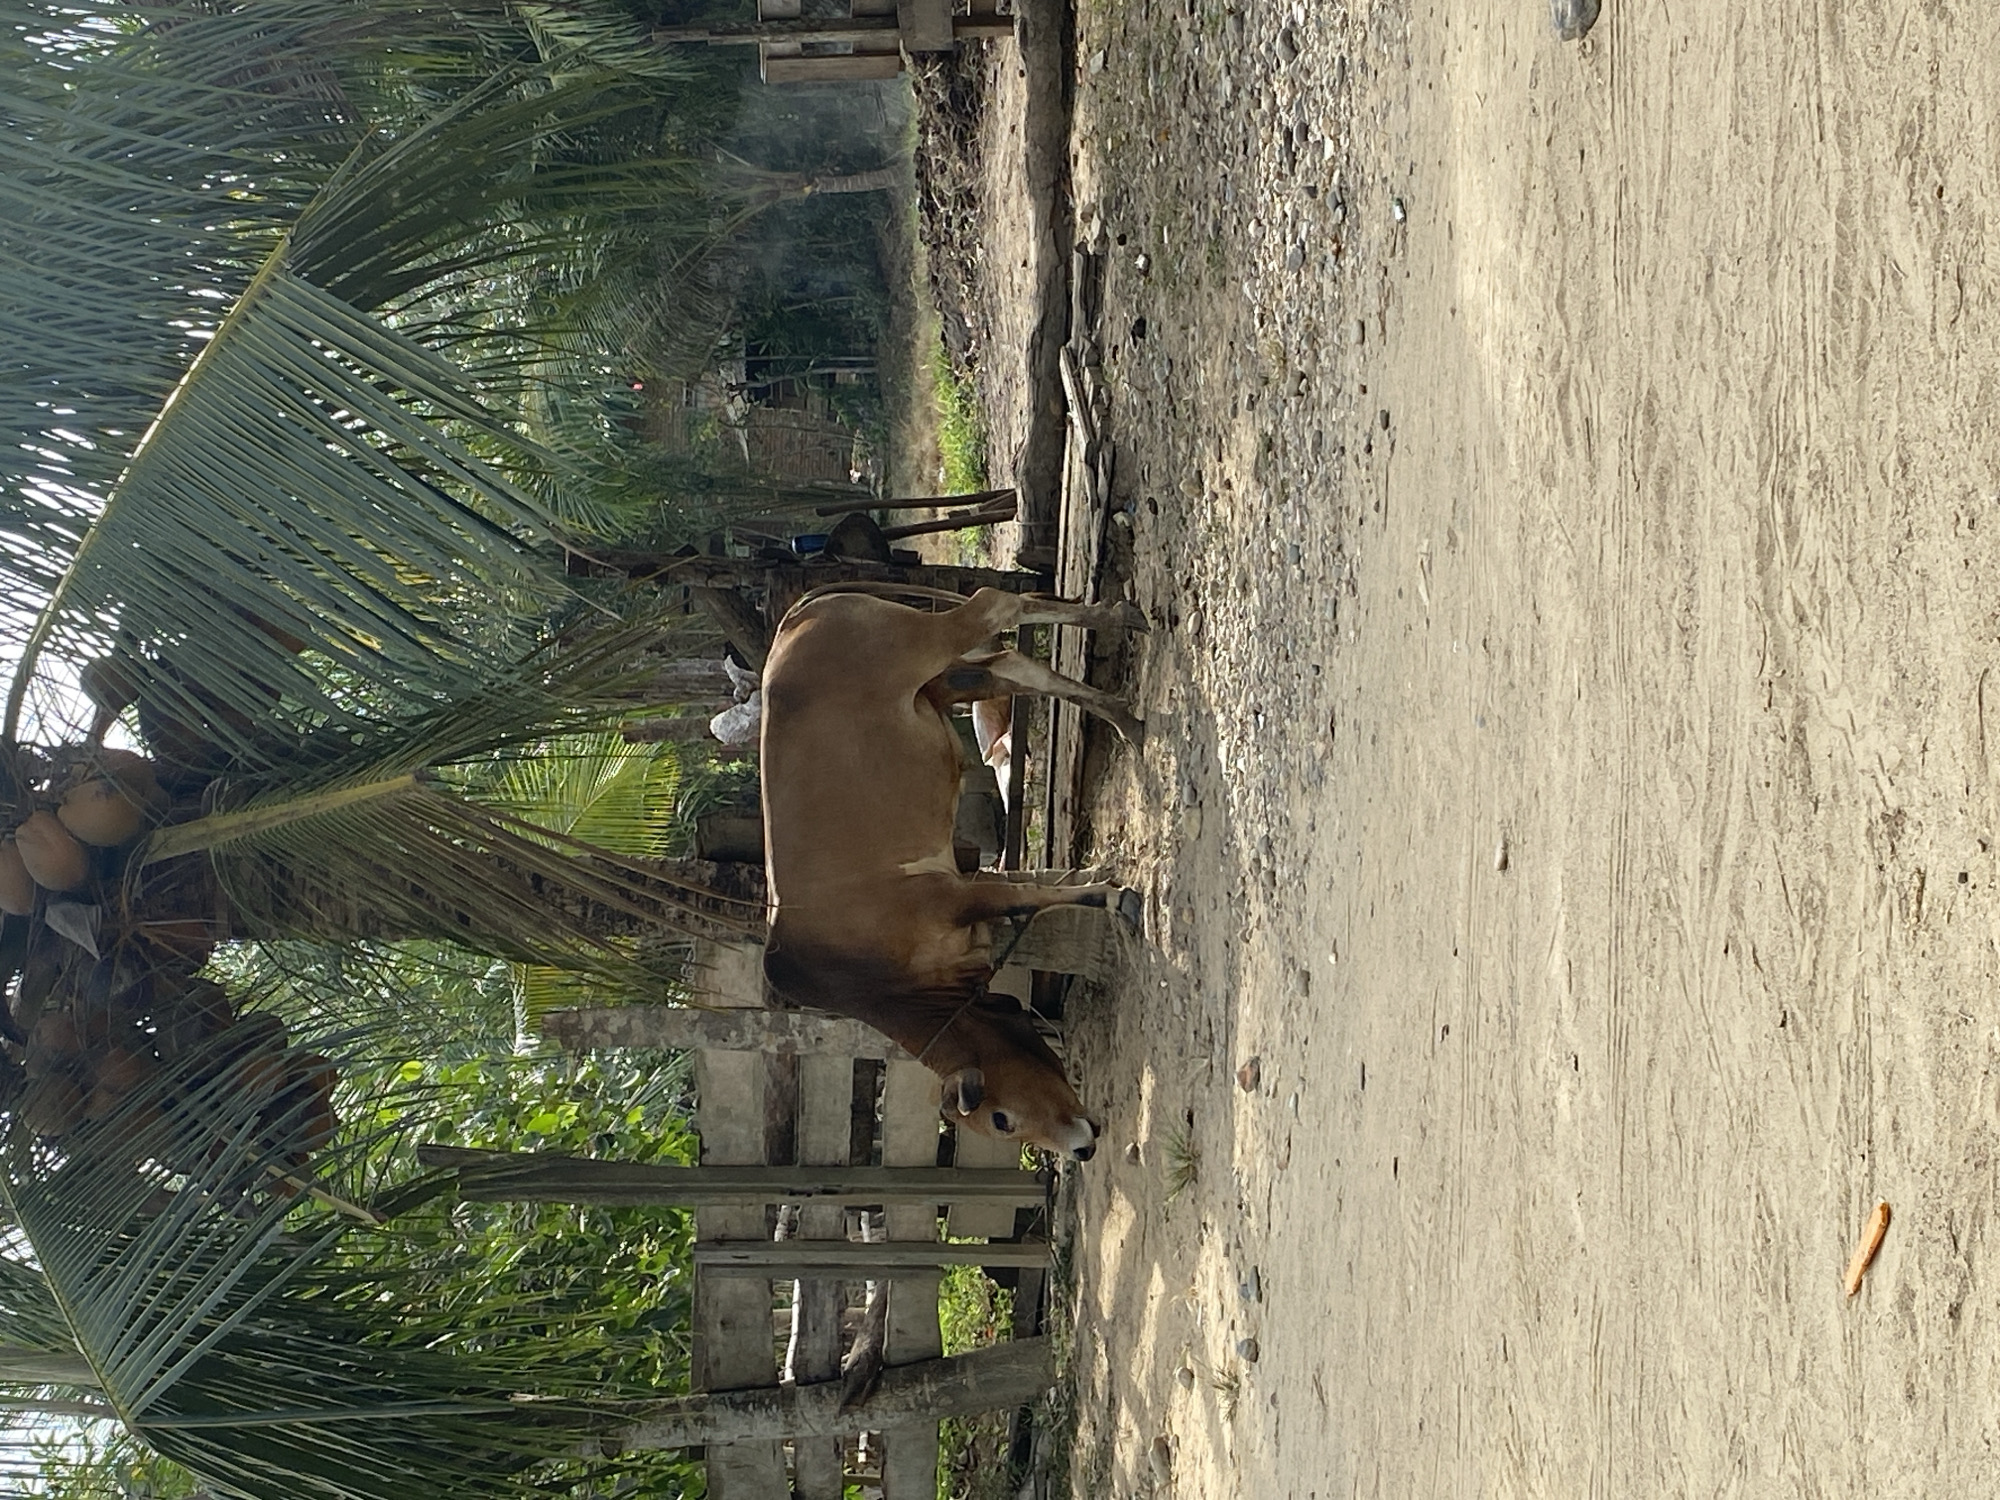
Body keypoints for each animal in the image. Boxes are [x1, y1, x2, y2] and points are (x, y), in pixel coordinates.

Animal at [759, 583, 1147, 1161]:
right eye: (1002, 1123)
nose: (1081, 1149)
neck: (882, 980)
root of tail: (796, 616)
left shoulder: (950, 897)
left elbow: (1030, 897)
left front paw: (1120, 898)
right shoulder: (969, 886)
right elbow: (1037, 887)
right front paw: (1098, 876)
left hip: (927, 644)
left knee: (995, 605)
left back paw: (1118, 633)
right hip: (939, 684)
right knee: (1004, 666)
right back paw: (1126, 710)